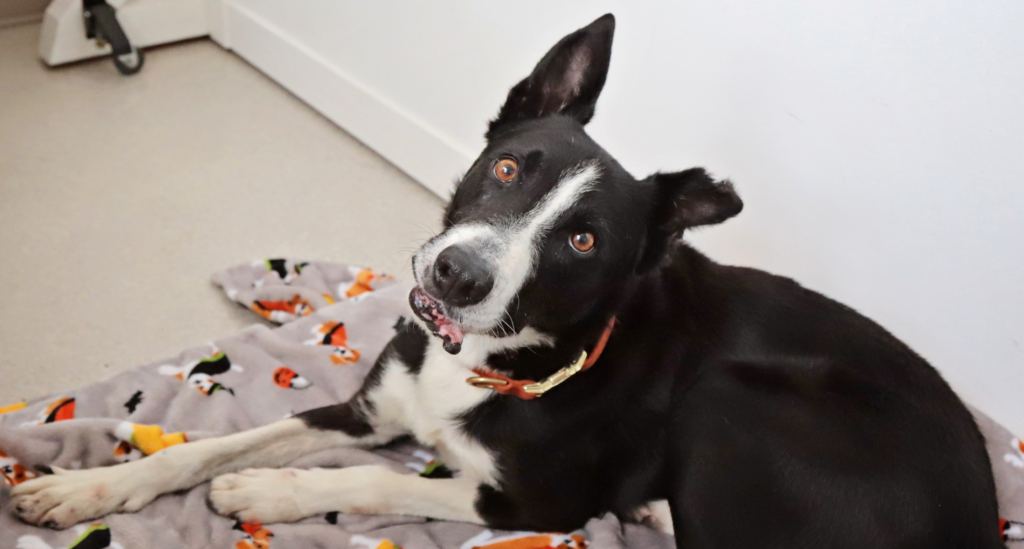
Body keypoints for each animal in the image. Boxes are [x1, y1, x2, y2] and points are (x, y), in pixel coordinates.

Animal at [9, 13, 999, 549]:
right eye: (511, 166)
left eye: (585, 239)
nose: (457, 273)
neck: (485, 356)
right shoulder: (372, 406)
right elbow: (215, 444)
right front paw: (86, 490)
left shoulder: (536, 500)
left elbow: (378, 481)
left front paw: (271, 493)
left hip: (731, 398)